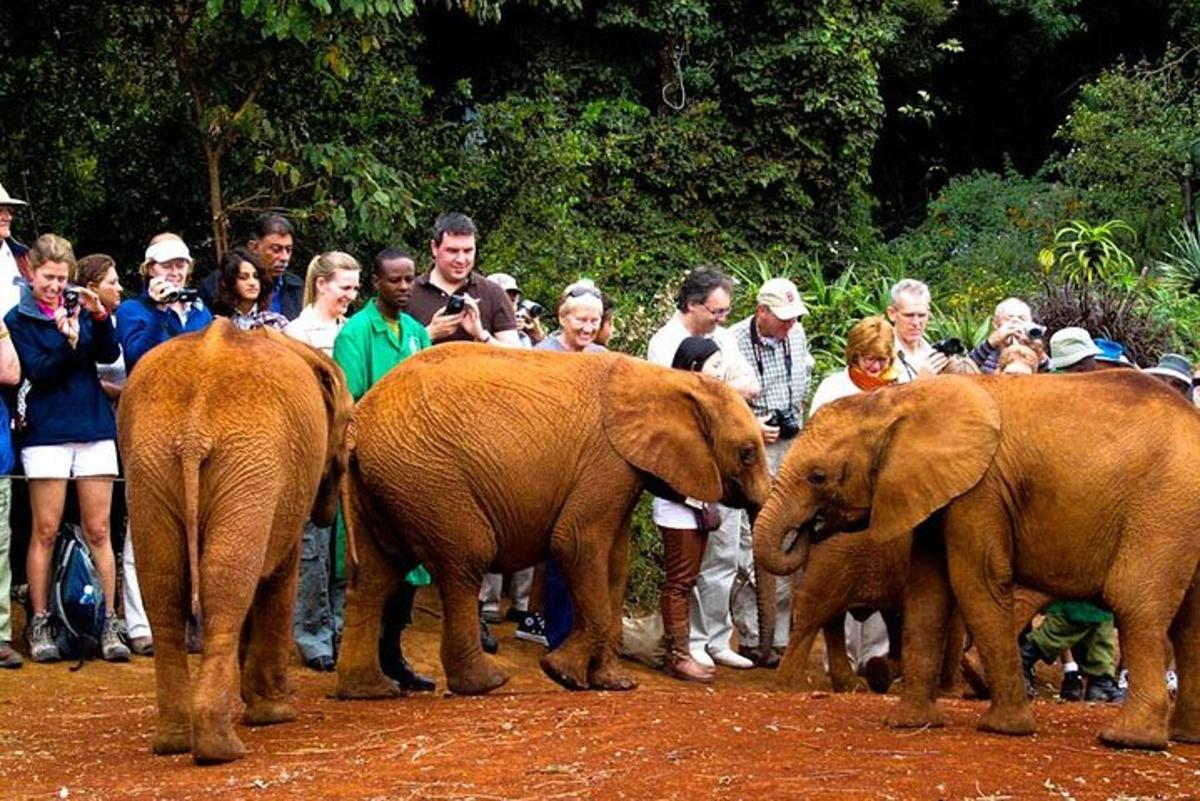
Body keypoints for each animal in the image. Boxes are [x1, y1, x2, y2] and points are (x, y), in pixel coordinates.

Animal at [118, 321, 350, 762]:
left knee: (166, 588)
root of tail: (193, 432)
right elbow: (279, 576)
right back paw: (221, 749)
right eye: (349, 423)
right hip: (249, 464)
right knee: (226, 588)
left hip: (150, 466)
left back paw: (175, 742)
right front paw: (275, 714)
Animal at [333, 347, 772, 695]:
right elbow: (576, 543)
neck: (666, 379)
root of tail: (358, 421)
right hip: (429, 479)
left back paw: (369, 690)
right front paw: (562, 674)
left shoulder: (623, 472)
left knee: (373, 578)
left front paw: (614, 683)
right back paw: (486, 683)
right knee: (466, 561)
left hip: (387, 483)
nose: (761, 658)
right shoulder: (607, 462)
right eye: (748, 453)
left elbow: (615, 563)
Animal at [758, 371, 1200, 753]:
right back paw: (1181, 737)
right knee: (1186, 623)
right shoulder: (942, 490)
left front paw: (1003, 729)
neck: (899, 400)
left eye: (818, 476)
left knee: (1137, 605)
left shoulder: (979, 491)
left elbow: (975, 584)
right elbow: (928, 592)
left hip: (1163, 508)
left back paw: (1128, 740)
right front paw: (910, 722)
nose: (809, 528)